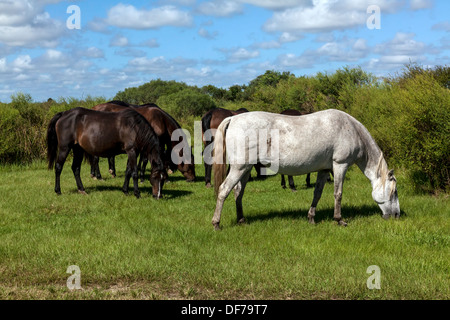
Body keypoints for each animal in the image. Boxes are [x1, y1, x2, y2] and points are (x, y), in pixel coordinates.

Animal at [211, 109, 400, 230]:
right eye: (393, 192)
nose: (397, 215)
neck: (351, 129)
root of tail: (233, 119)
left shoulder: (324, 169)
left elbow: (317, 193)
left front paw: (311, 218)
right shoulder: (340, 165)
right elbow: (338, 194)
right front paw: (339, 220)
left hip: (245, 169)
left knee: (238, 192)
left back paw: (241, 220)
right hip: (239, 168)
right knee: (223, 190)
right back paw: (216, 223)